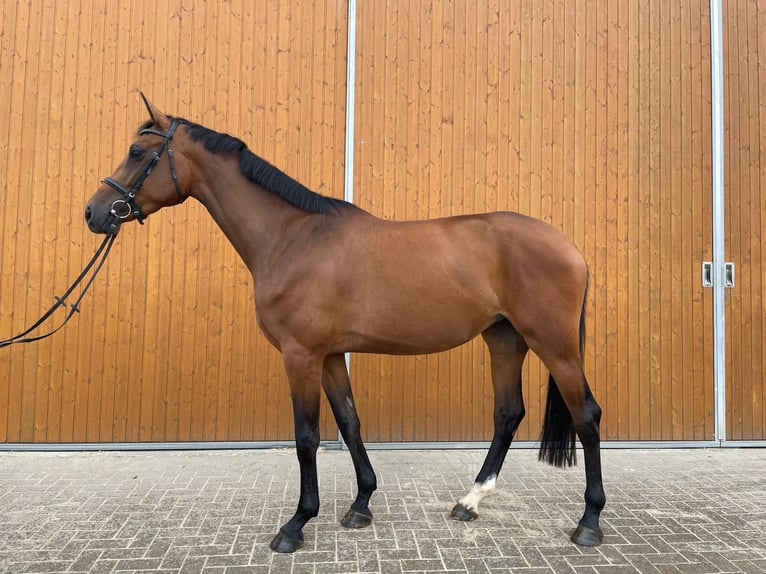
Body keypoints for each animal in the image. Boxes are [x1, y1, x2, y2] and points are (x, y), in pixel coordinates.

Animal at [85, 97, 608, 556]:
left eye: (137, 153)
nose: (95, 211)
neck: (292, 237)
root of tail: (570, 247)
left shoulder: (300, 355)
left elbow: (307, 437)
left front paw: (296, 524)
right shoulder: (331, 355)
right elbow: (350, 423)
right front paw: (360, 506)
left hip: (555, 345)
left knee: (586, 416)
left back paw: (589, 523)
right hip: (504, 339)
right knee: (507, 414)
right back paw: (470, 501)